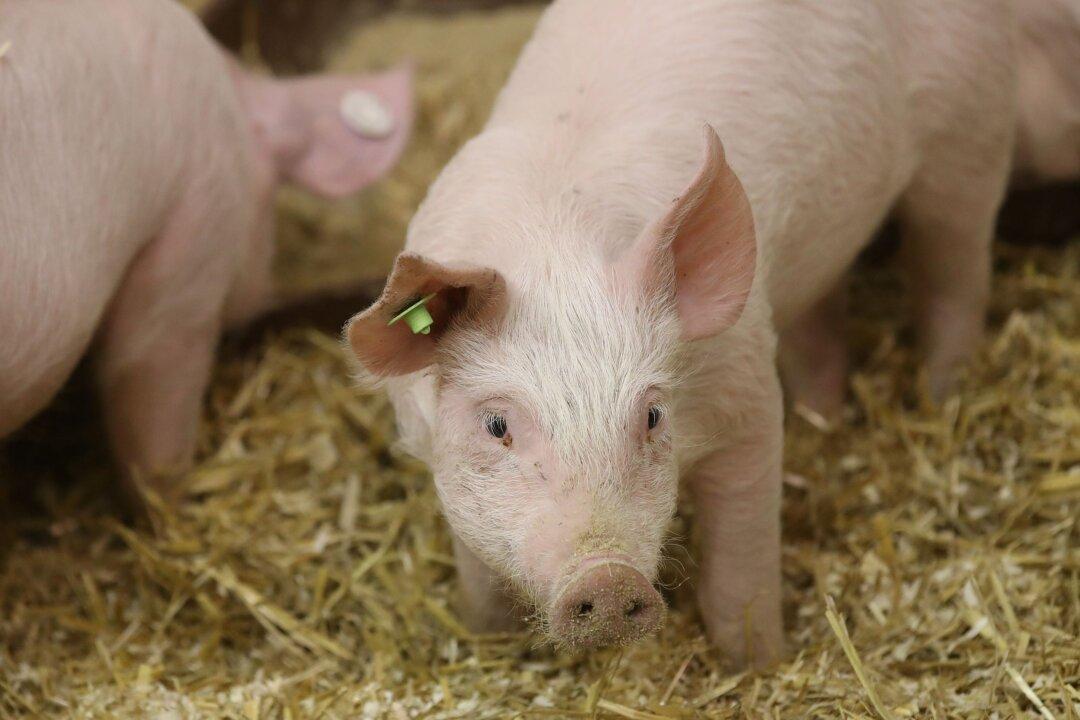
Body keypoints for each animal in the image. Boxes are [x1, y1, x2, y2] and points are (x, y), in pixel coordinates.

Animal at [345, 0, 1015, 667]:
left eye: (652, 415)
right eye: (495, 424)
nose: (608, 579)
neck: (552, 244)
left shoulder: (744, 389)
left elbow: (741, 564)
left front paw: (758, 665)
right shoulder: (429, 441)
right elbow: (478, 575)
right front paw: (489, 639)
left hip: (968, 133)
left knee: (954, 271)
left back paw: (940, 396)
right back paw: (821, 419)